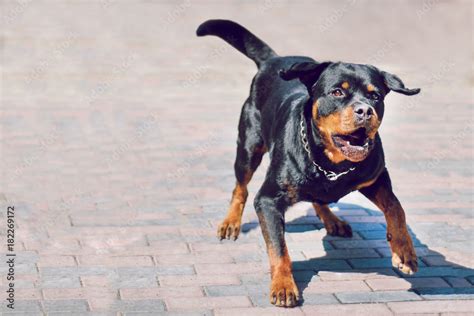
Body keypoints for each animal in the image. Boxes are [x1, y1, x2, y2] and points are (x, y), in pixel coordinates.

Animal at [198, 19, 420, 306]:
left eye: (375, 96)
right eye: (337, 92)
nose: (364, 110)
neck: (332, 163)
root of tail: (274, 60)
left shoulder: (376, 177)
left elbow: (395, 207)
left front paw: (404, 252)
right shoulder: (268, 200)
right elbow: (279, 249)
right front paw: (283, 285)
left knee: (319, 199)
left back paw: (332, 219)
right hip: (248, 146)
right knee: (241, 187)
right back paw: (231, 223)